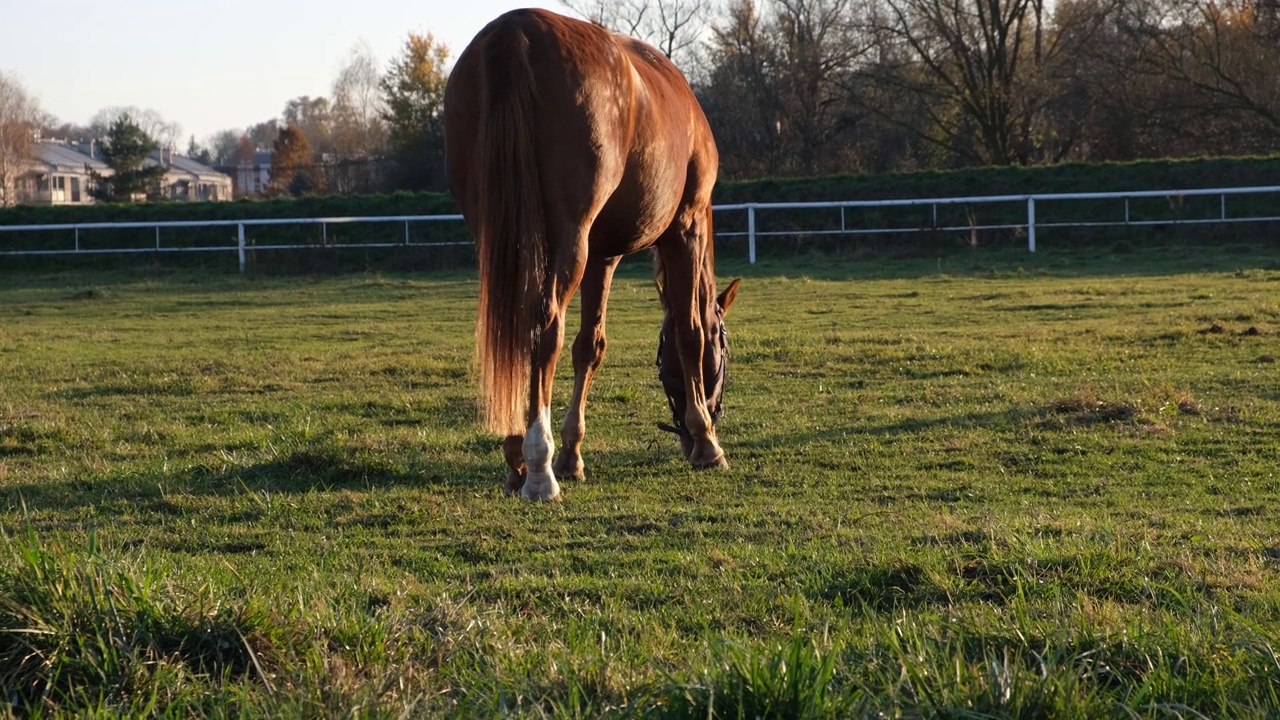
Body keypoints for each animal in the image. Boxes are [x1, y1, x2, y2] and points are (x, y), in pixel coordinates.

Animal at [445, 8, 742, 499]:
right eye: (727, 349)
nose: (688, 433)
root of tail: (516, 29)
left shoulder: (602, 256)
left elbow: (590, 346)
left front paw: (572, 454)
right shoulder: (685, 229)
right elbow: (690, 331)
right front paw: (706, 442)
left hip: (501, 235)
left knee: (511, 325)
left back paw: (516, 454)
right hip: (568, 240)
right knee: (543, 324)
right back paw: (538, 465)